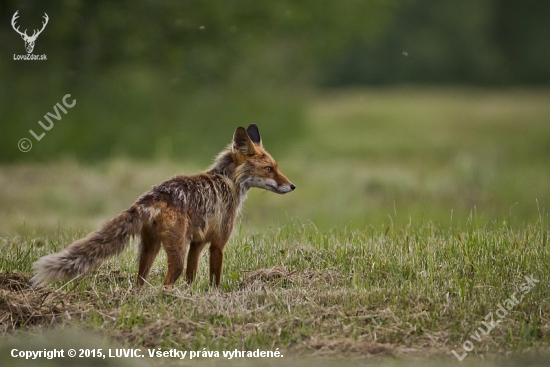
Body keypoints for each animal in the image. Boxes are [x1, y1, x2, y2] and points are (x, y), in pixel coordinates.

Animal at [29, 125, 298, 288]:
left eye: (276, 167)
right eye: (269, 169)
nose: (292, 186)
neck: (227, 182)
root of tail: (152, 196)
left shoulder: (197, 243)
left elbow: (192, 275)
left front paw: (190, 294)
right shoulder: (217, 242)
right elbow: (215, 278)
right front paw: (214, 295)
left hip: (150, 249)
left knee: (139, 282)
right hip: (174, 252)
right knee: (168, 282)